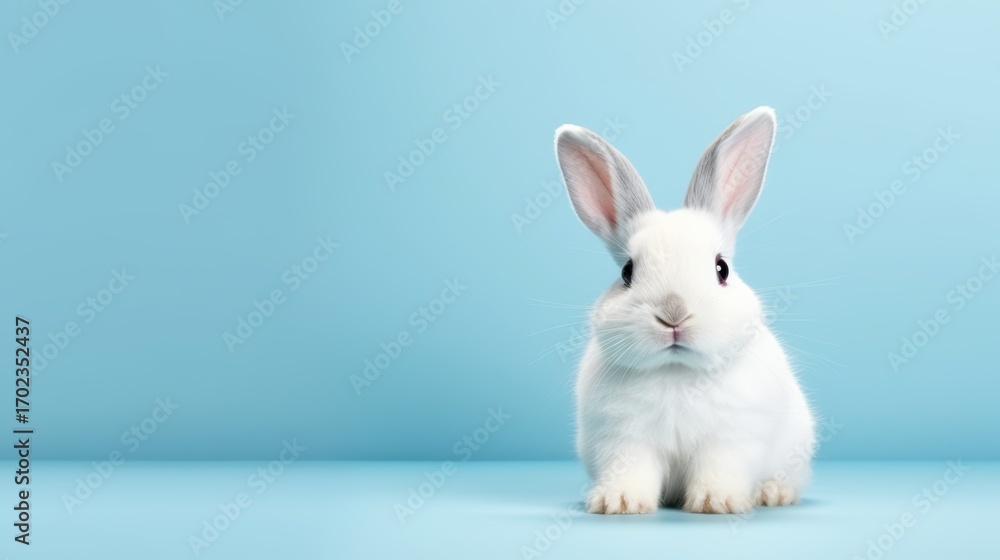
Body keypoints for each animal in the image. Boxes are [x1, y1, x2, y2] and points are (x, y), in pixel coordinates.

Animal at [553, 107, 815, 515]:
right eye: (627, 272)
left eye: (722, 268)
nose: (673, 313)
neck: (676, 371)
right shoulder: (624, 439)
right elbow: (630, 469)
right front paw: (619, 502)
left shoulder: (729, 438)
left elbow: (720, 467)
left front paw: (716, 501)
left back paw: (773, 493)